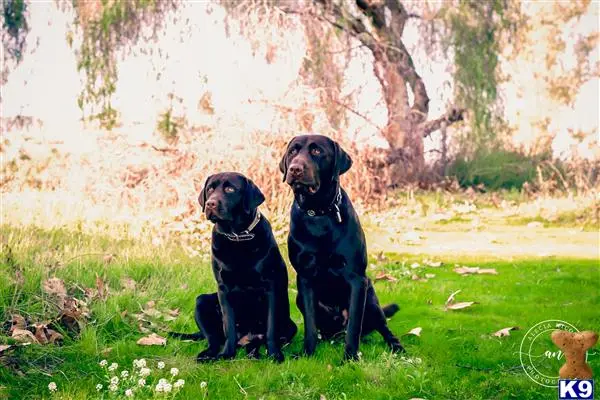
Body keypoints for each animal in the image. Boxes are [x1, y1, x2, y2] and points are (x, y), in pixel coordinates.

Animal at [171, 172, 296, 362]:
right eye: (210, 189)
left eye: (230, 189)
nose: (210, 203)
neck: (236, 236)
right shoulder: (224, 289)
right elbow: (229, 325)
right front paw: (227, 354)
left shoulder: (270, 287)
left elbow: (270, 328)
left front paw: (275, 355)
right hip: (201, 301)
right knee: (214, 339)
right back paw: (209, 355)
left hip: (290, 325)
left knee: (260, 340)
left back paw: (254, 353)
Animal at [280, 136, 404, 360]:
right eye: (292, 152)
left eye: (317, 151)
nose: (295, 169)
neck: (318, 212)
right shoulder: (305, 279)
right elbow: (310, 325)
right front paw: (307, 353)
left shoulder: (356, 279)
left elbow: (354, 324)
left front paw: (351, 357)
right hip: (299, 298)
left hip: (371, 299)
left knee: (382, 326)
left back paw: (395, 346)